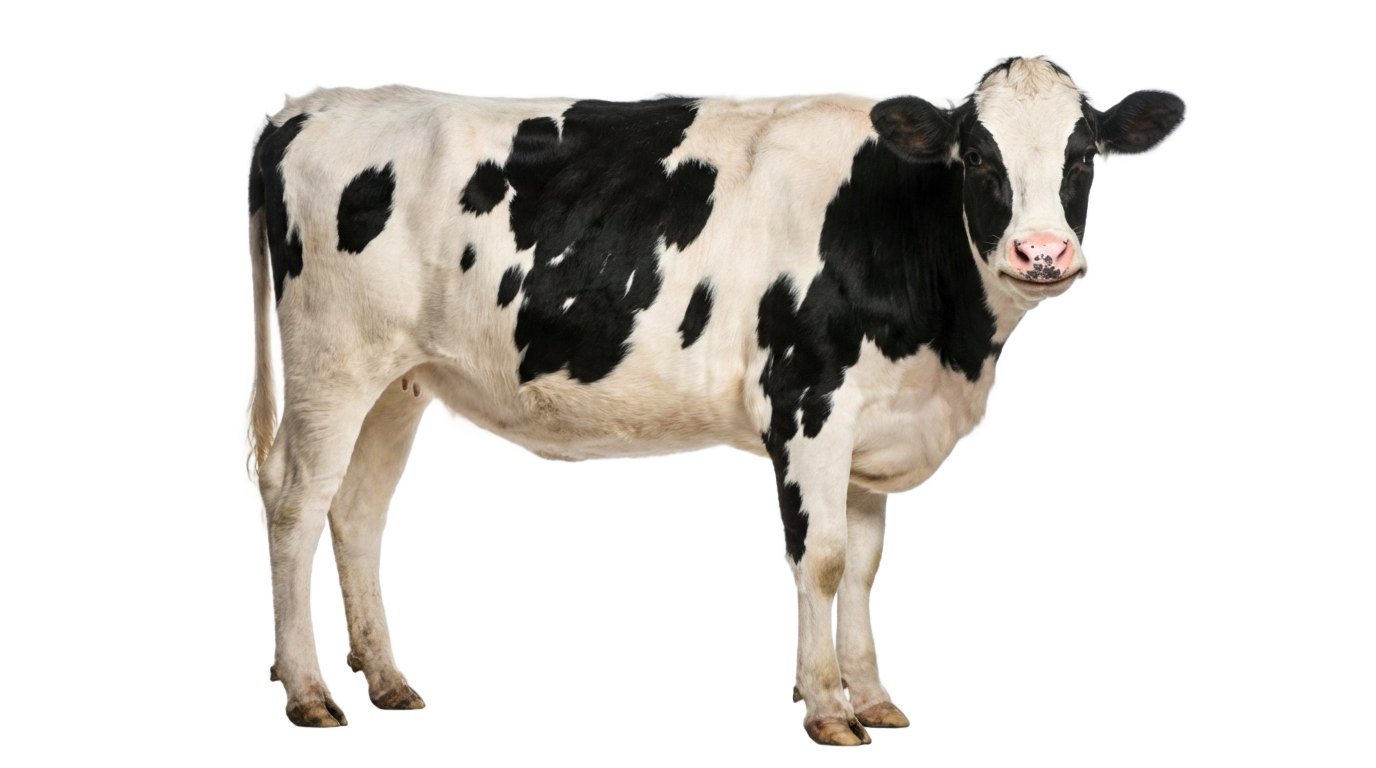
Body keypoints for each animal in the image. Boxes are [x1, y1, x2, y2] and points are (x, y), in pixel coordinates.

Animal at [246, 57, 1183, 745]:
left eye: (1084, 155)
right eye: (979, 157)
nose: (1041, 253)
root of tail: (307, 106)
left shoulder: (875, 428)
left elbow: (864, 567)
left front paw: (874, 698)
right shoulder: (808, 404)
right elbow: (822, 559)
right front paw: (827, 709)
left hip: (395, 383)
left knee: (355, 515)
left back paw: (387, 683)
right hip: (328, 364)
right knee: (295, 509)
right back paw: (307, 695)